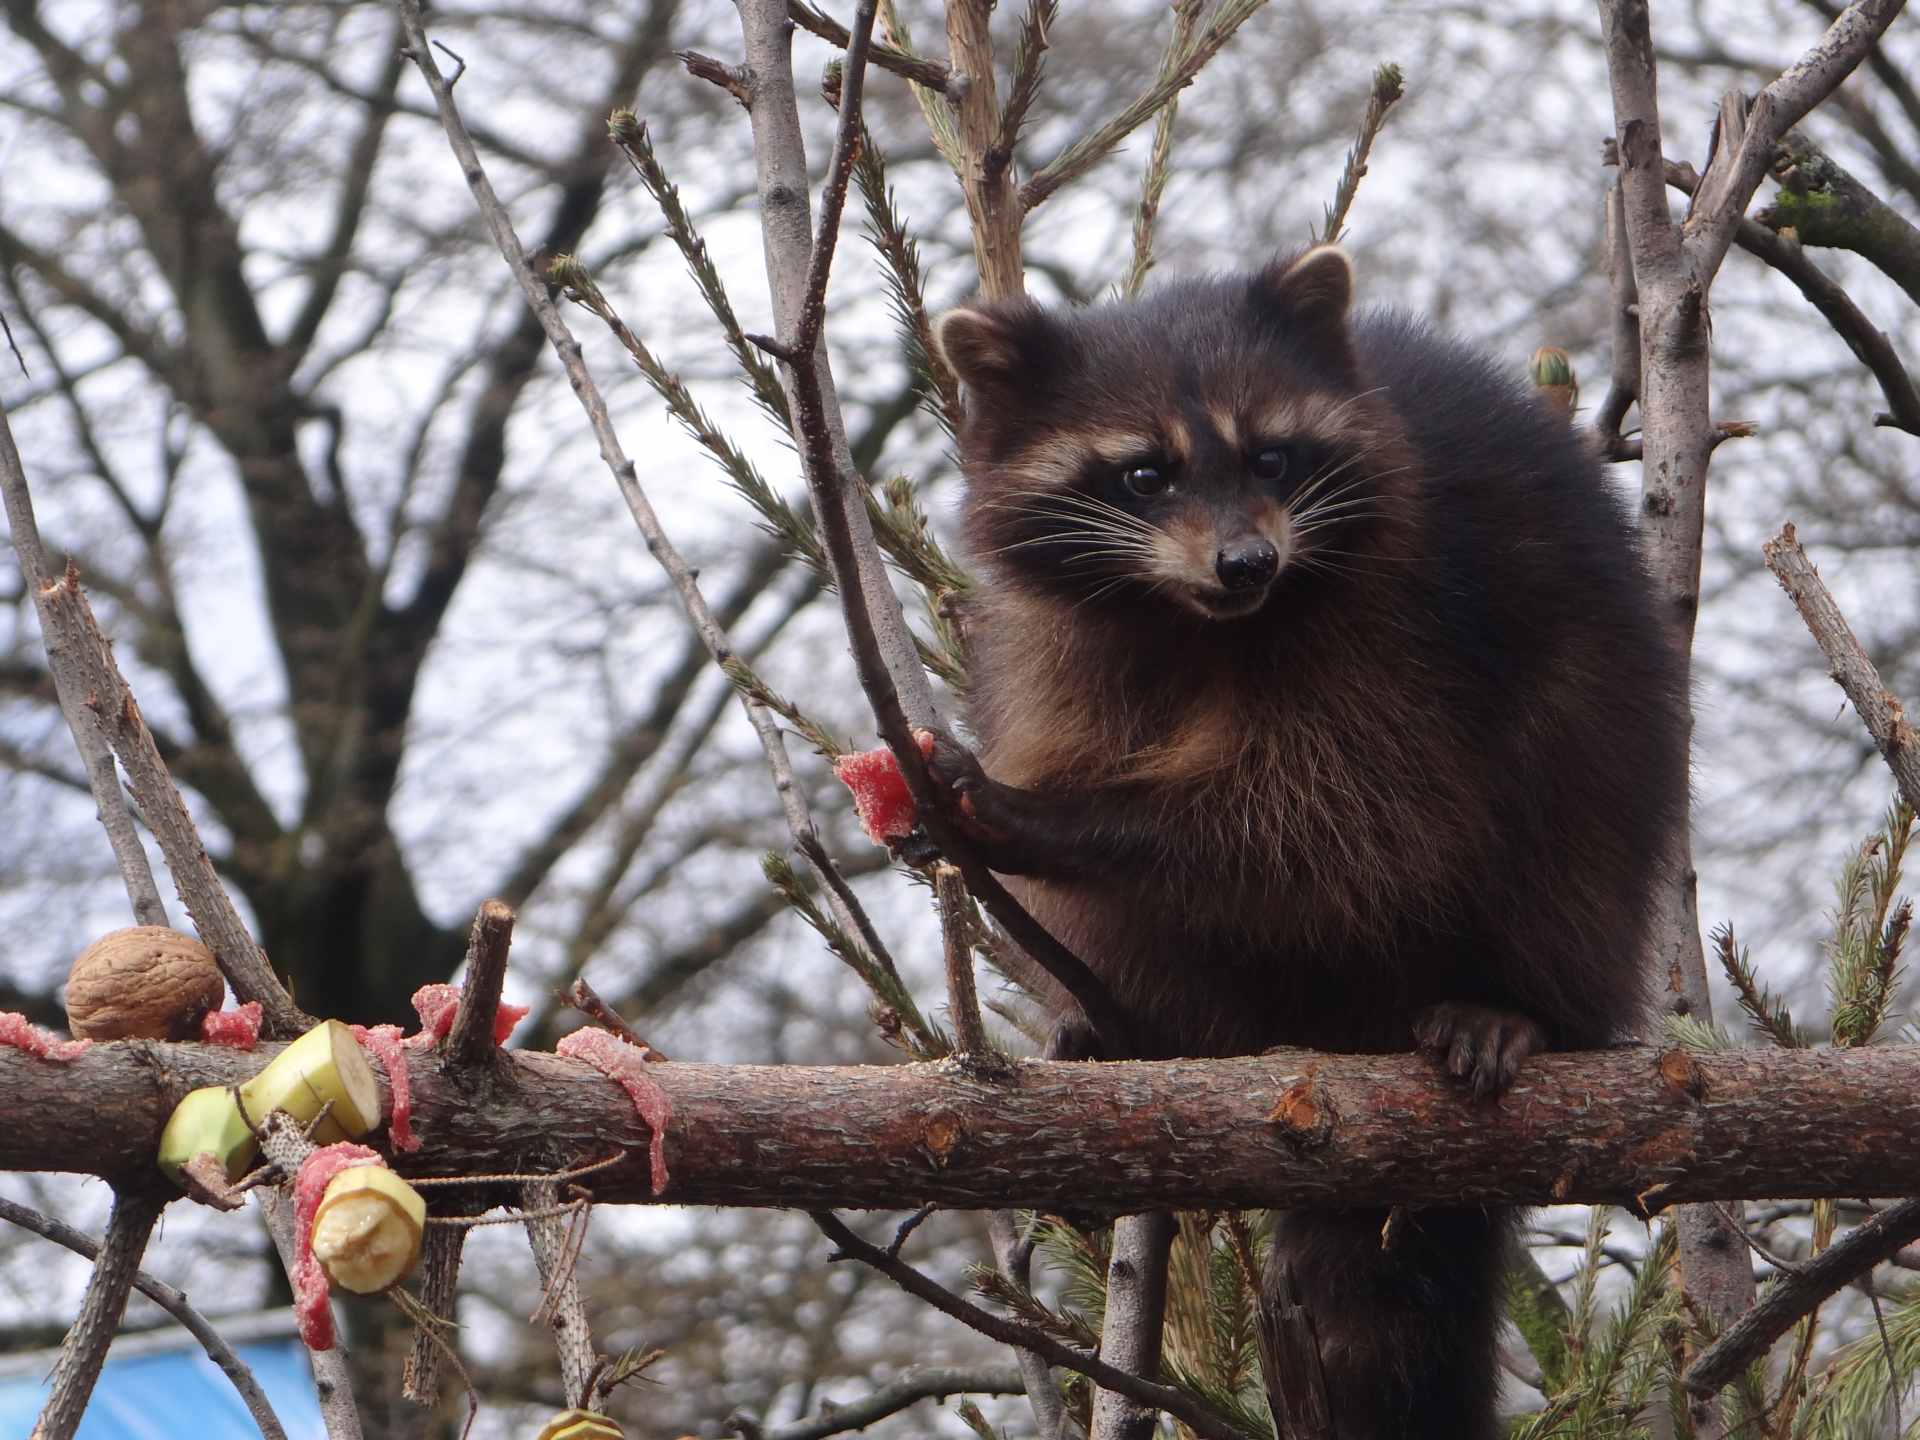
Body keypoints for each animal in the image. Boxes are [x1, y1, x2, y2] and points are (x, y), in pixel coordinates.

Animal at [921, 251, 1689, 1440]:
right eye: (1144, 474)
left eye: (1271, 455)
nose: (1248, 560)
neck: (1194, 616)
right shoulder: (1065, 644)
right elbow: (1082, 748)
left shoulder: (1401, 623)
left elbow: (1345, 827)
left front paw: (1064, 821)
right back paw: (1141, 1034)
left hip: (1603, 730)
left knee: (1570, 816)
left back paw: (1522, 1003)